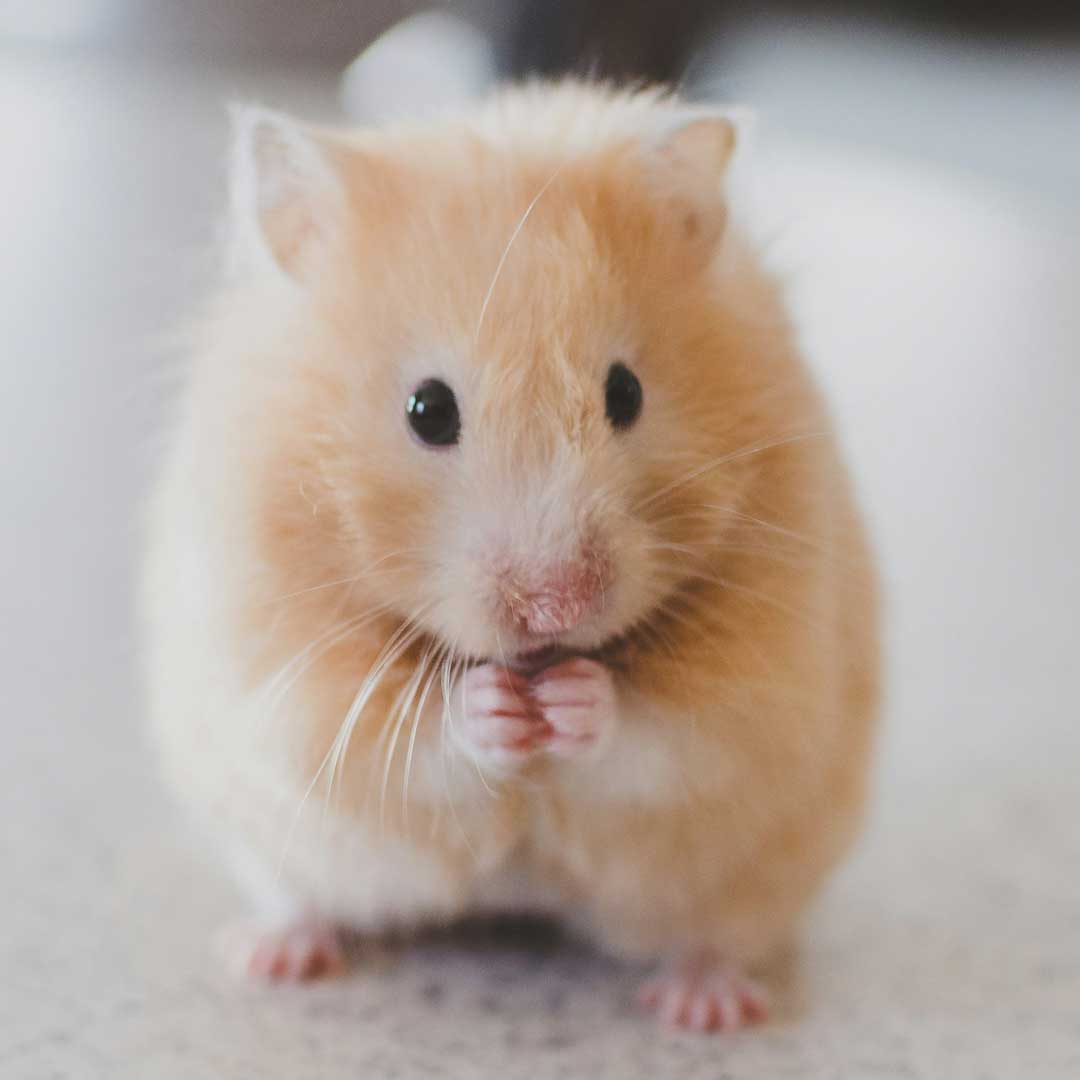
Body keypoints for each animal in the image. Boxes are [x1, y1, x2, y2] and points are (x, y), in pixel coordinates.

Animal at [142, 81, 879, 1033]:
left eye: (626, 393)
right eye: (427, 410)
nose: (556, 607)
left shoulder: (765, 681)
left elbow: (666, 734)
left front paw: (572, 700)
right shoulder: (284, 672)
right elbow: (406, 737)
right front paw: (495, 707)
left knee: (720, 935)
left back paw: (703, 1007)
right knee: (300, 896)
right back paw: (269, 956)